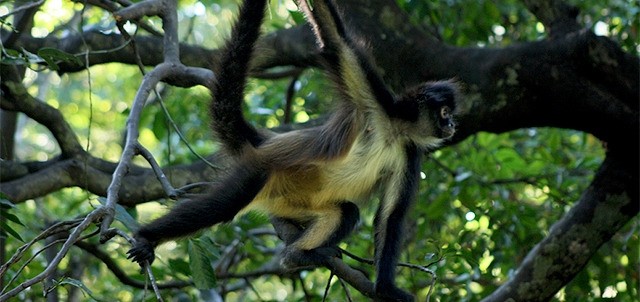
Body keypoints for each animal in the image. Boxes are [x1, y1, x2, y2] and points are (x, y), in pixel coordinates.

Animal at [127, 1, 458, 300]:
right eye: (444, 112)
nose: (453, 124)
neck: (392, 131)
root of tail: (266, 146)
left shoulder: (409, 152)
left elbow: (391, 216)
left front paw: (386, 288)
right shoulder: (374, 100)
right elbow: (335, 38)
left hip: (292, 200)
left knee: (345, 212)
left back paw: (295, 256)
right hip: (259, 172)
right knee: (225, 204)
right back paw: (147, 237)